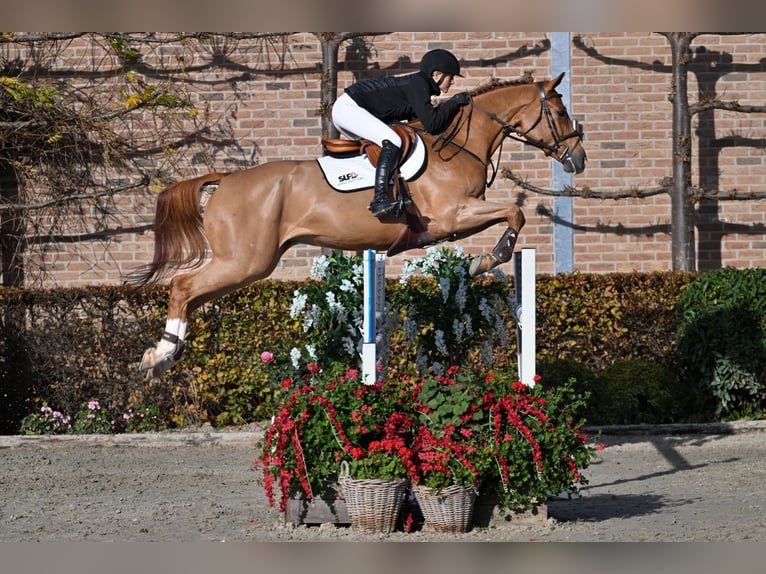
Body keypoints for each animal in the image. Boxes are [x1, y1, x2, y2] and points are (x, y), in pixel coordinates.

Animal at [131, 72, 587, 378]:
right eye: (560, 112)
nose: (578, 160)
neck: (459, 145)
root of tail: (225, 179)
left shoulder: (455, 219)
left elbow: (512, 213)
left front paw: (481, 262)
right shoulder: (451, 217)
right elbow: (514, 213)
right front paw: (484, 261)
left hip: (247, 264)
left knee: (192, 296)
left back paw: (164, 355)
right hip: (245, 261)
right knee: (182, 287)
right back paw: (159, 356)